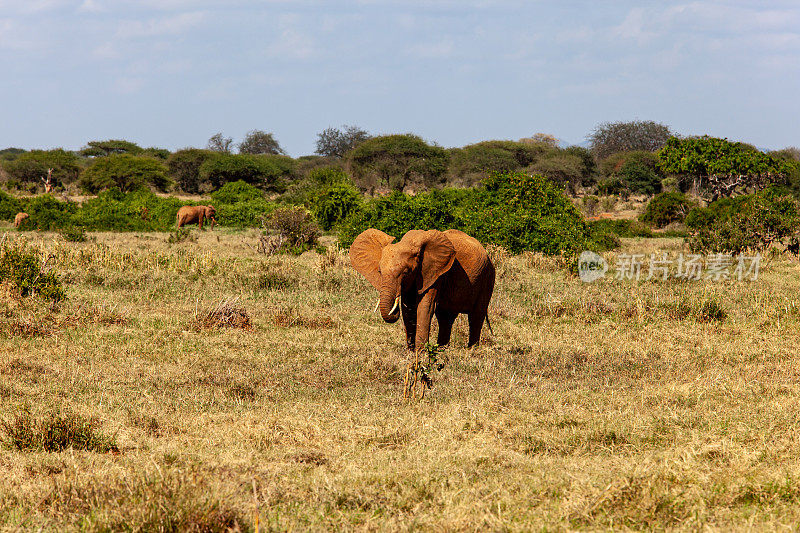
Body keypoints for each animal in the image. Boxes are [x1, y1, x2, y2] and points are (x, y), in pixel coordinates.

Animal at [350, 227, 494, 352]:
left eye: (405, 272)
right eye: (380, 271)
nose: (393, 310)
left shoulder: (434, 273)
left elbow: (425, 307)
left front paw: (420, 353)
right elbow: (408, 309)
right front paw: (411, 352)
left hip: (487, 277)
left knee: (476, 315)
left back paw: (472, 350)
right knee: (445, 316)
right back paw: (441, 349)